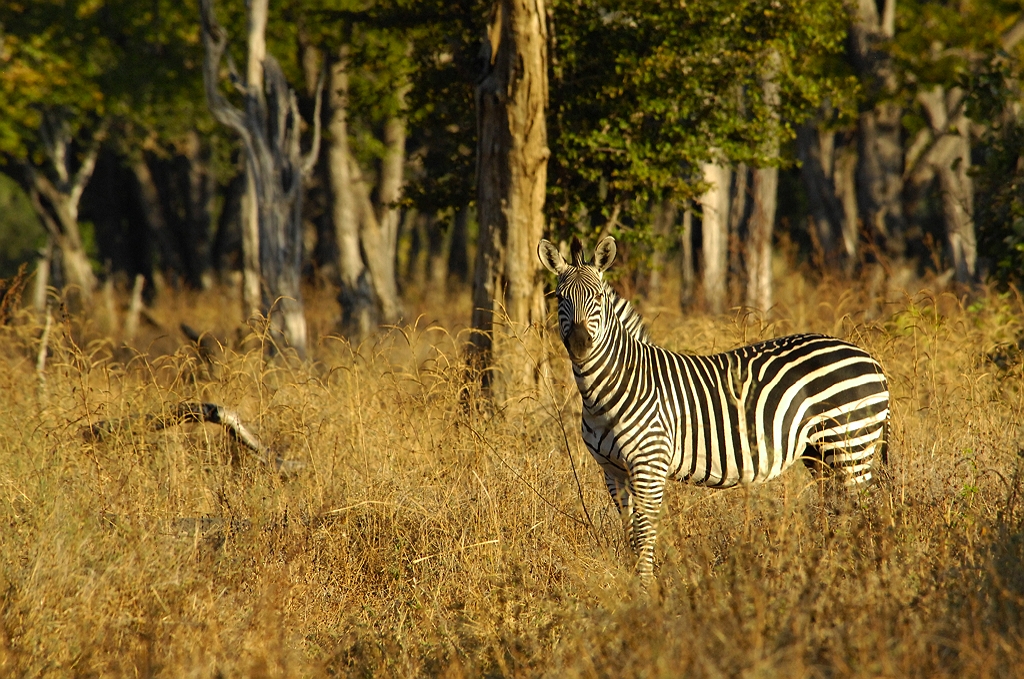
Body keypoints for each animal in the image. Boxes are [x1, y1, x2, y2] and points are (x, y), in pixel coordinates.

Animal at [537, 236, 890, 582]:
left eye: (597, 297)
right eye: (560, 297)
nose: (580, 344)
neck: (609, 389)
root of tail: (869, 358)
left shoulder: (650, 462)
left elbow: (644, 530)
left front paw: (647, 589)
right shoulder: (612, 470)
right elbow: (629, 530)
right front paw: (633, 584)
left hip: (851, 444)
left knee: (863, 512)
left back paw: (862, 576)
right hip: (821, 453)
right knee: (840, 511)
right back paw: (834, 571)